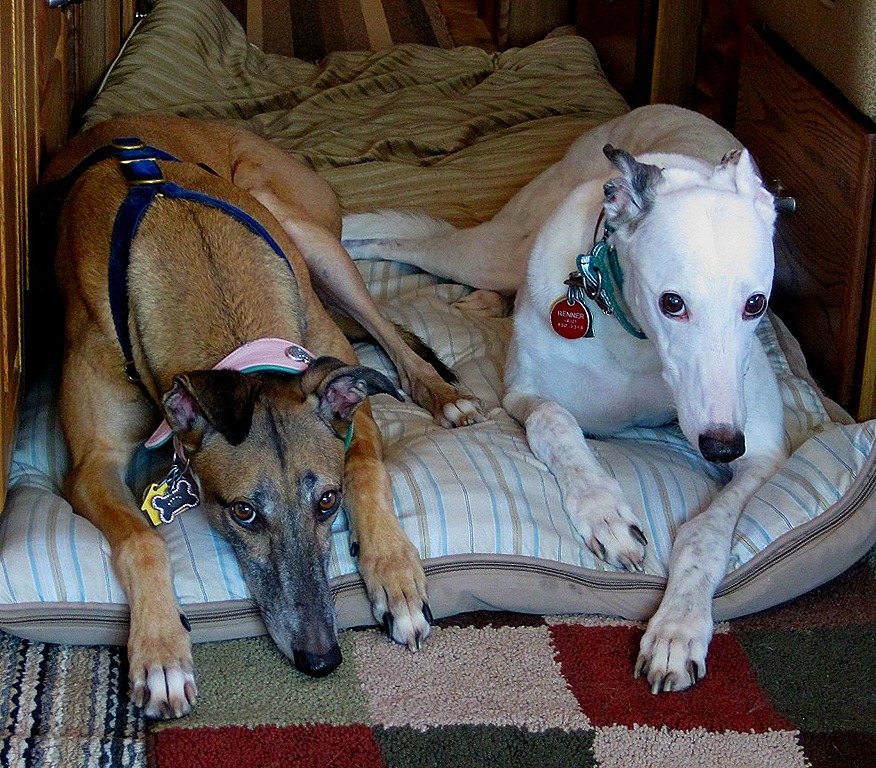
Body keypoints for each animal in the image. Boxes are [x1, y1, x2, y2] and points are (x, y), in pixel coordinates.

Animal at [42, 115, 480, 719]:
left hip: (310, 236)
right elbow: (142, 541)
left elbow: (368, 469)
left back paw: (442, 393)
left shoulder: (347, 395)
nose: (322, 660)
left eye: (328, 501)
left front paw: (393, 573)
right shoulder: (91, 466)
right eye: (243, 513)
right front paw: (161, 652)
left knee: (392, 340)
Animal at [342, 104, 790, 693]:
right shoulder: (523, 393)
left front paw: (679, 628)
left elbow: (706, 533)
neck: (633, 337)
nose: (720, 447)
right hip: (490, 250)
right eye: (672, 302)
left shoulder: (763, 451)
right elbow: (556, 421)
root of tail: (654, 110)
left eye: (754, 303)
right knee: (396, 244)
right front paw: (605, 513)